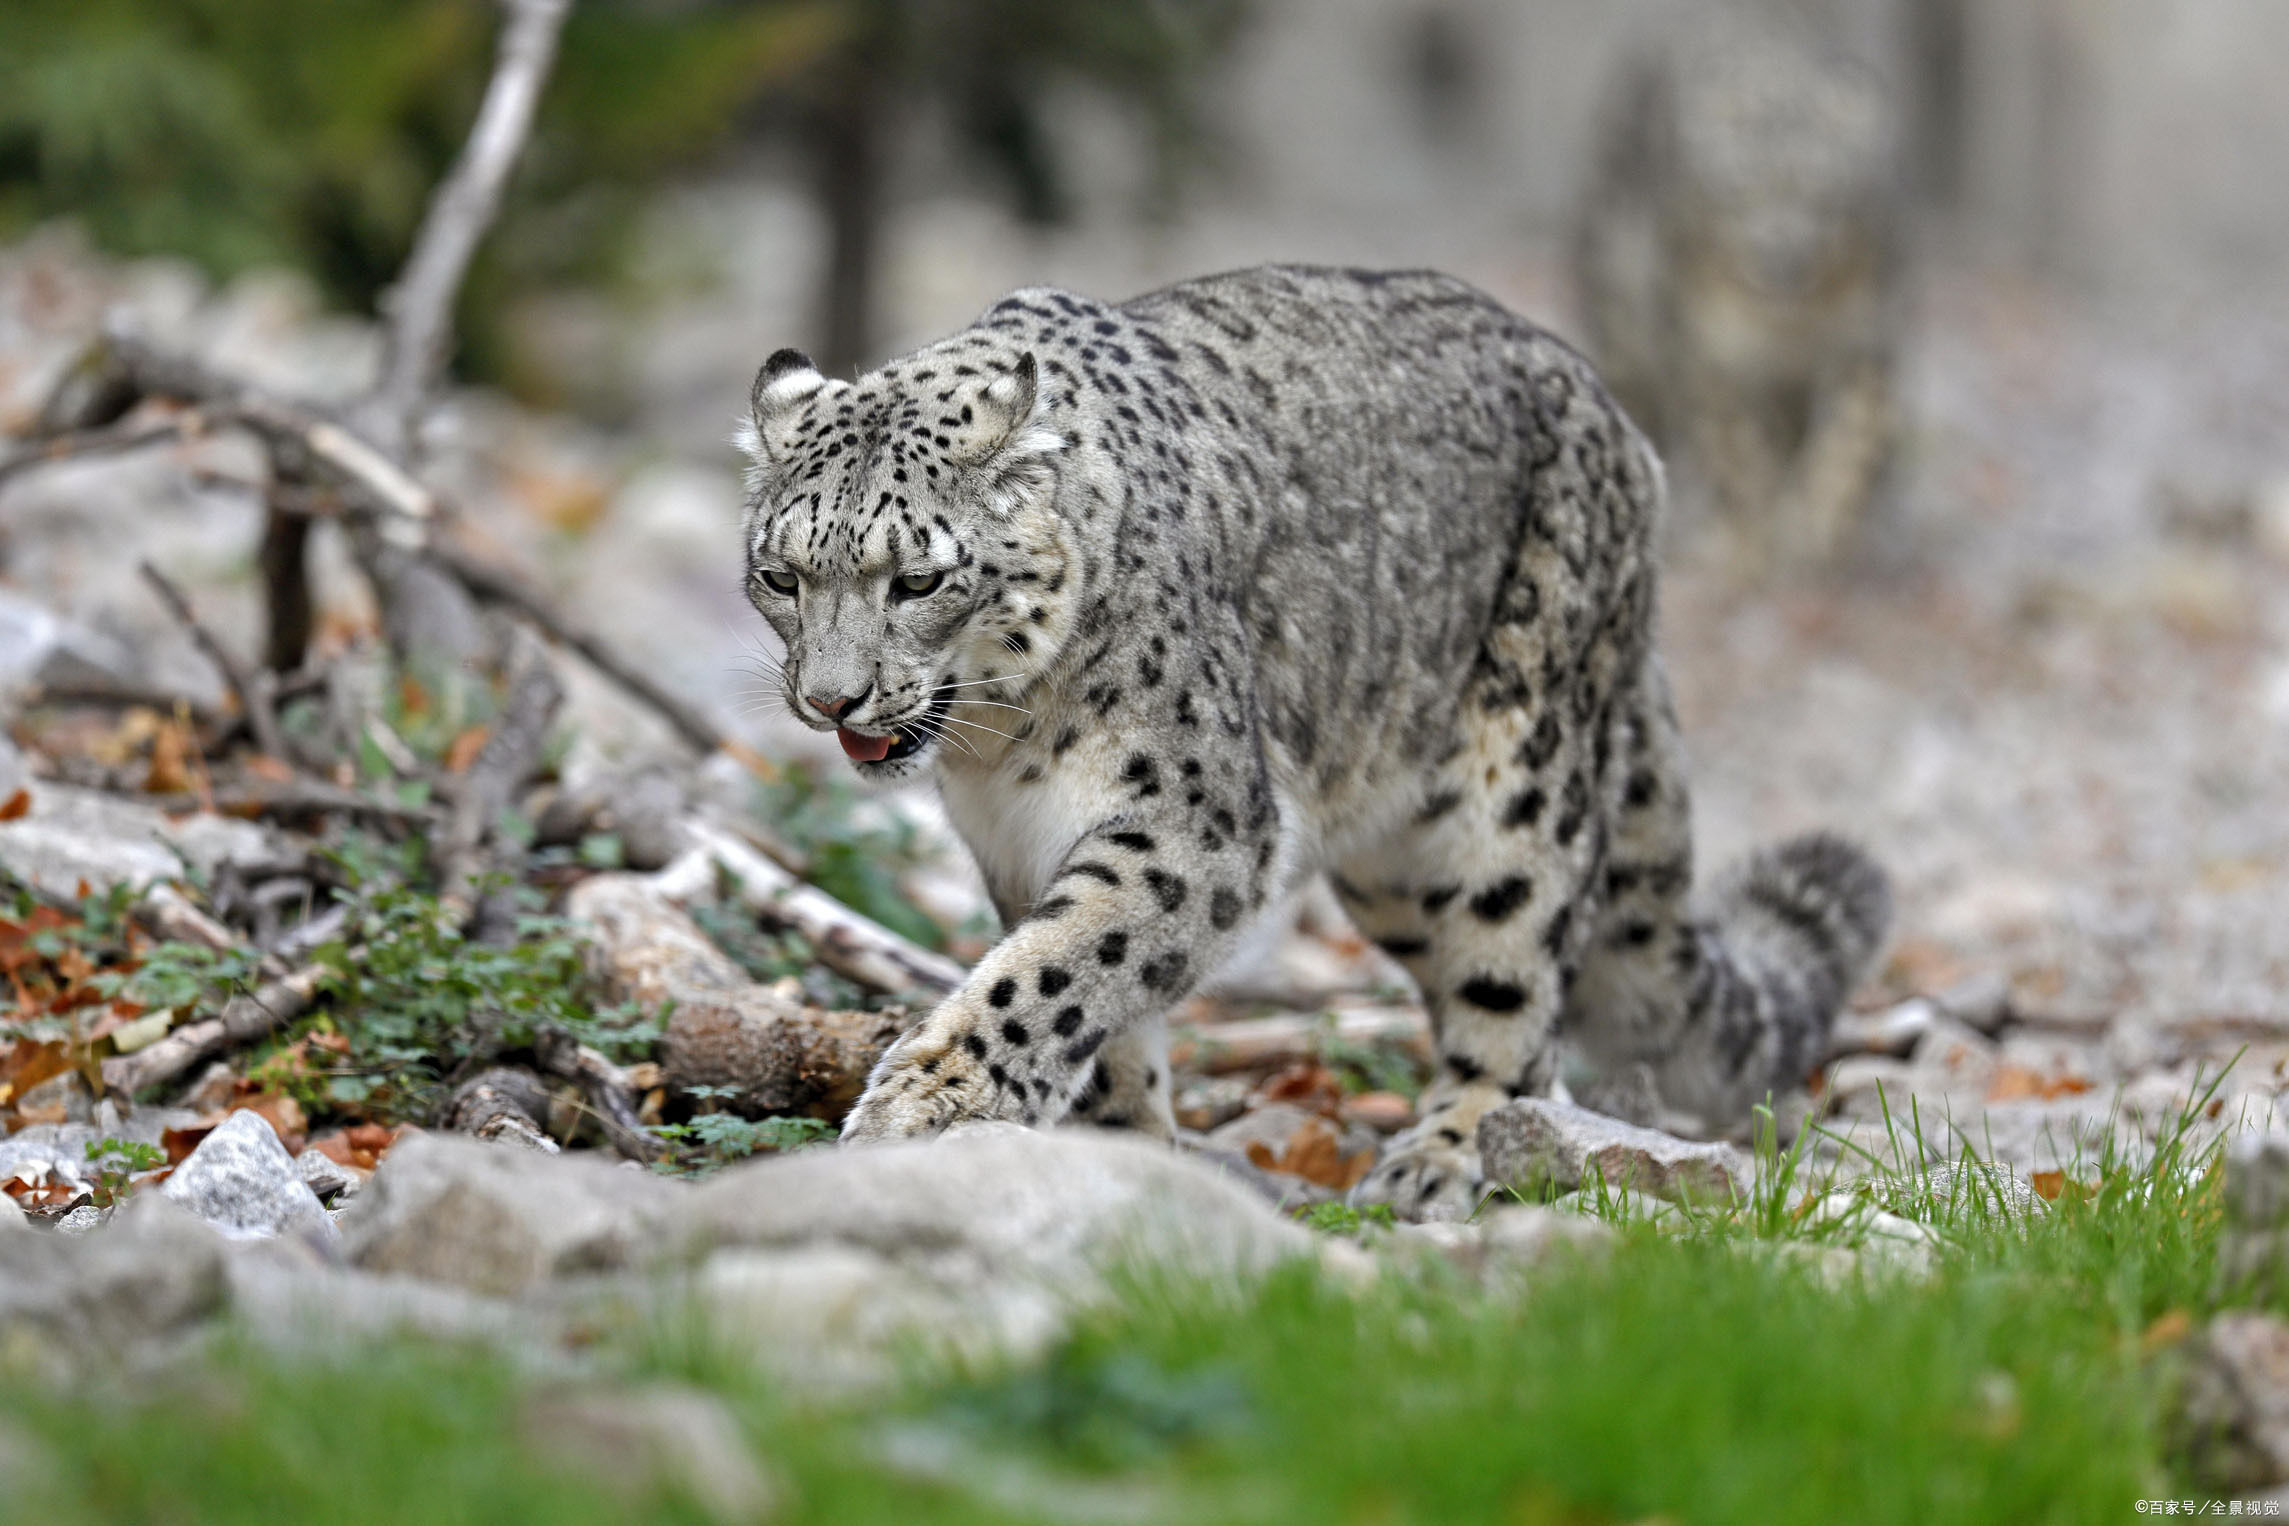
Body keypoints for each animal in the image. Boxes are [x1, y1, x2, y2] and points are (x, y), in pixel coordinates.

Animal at [737, 263, 1895, 1217]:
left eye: (917, 578)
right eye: (780, 574)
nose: (832, 700)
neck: (1000, 742)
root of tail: (1621, 424)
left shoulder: (1191, 823)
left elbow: (1061, 964)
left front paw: (928, 1097)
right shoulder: (1020, 844)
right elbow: (1095, 986)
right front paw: (1121, 1145)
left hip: (1513, 796)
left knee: (1517, 994)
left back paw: (1447, 1154)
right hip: (1395, 862)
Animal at [1574, 4, 1913, 571]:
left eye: (1822, 192)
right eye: (1743, 188)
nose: (1783, 257)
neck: (1790, 322)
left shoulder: (1867, 329)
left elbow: (1854, 430)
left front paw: (1818, 527)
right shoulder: (1708, 345)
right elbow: (1736, 447)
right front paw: (1752, 543)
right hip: (1620, 307)